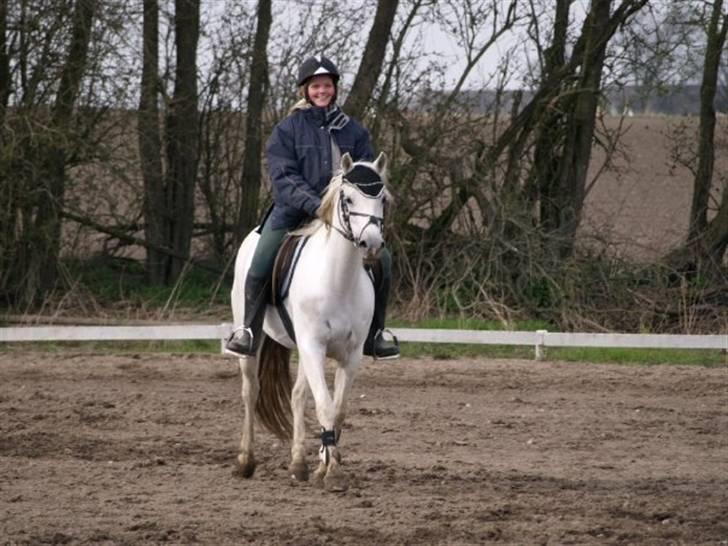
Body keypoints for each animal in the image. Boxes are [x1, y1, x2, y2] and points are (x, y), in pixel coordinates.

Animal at [229, 152, 390, 491]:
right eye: (348, 198)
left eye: (382, 199)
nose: (371, 244)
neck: (338, 279)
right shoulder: (314, 347)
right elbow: (325, 405)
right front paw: (333, 472)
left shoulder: (350, 354)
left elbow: (338, 411)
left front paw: (325, 464)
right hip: (255, 340)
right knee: (251, 391)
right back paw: (245, 461)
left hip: (303, 350)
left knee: (297, 396)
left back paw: (298, 464)